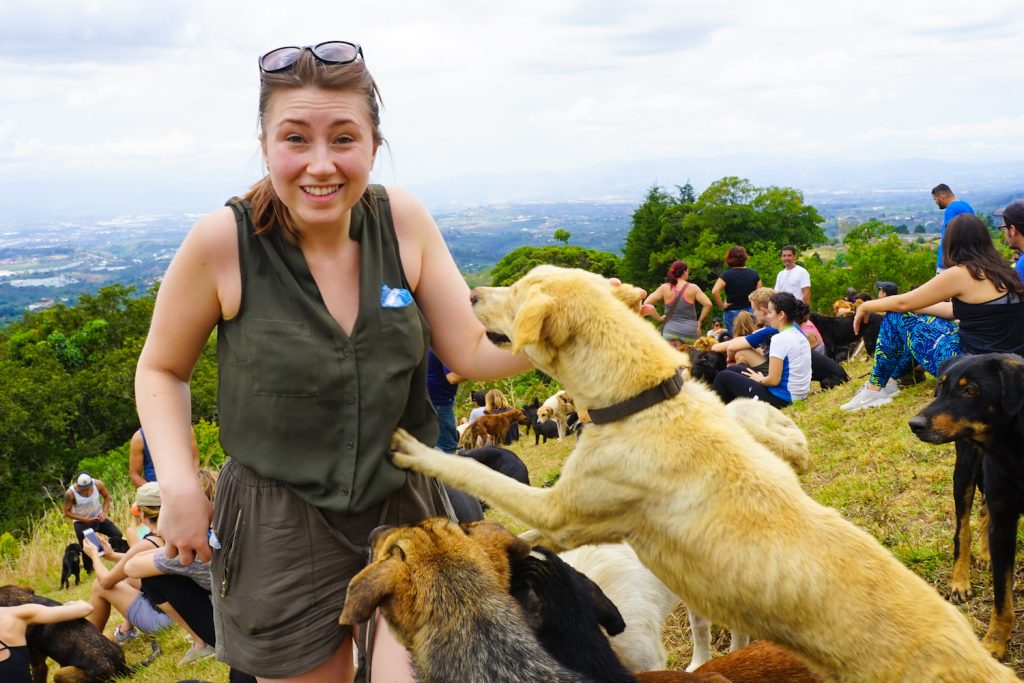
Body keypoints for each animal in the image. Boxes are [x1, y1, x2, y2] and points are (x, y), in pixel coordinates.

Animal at [909, 352, 1024, 655]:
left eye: (970, 389)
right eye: (940, 386)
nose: (915, 424)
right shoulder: (1004, 519)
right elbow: (1001, 598)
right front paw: (994, 643)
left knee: (984, 511)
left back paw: (984, 555)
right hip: (964, 473)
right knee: (962, 531)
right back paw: (960, 581)